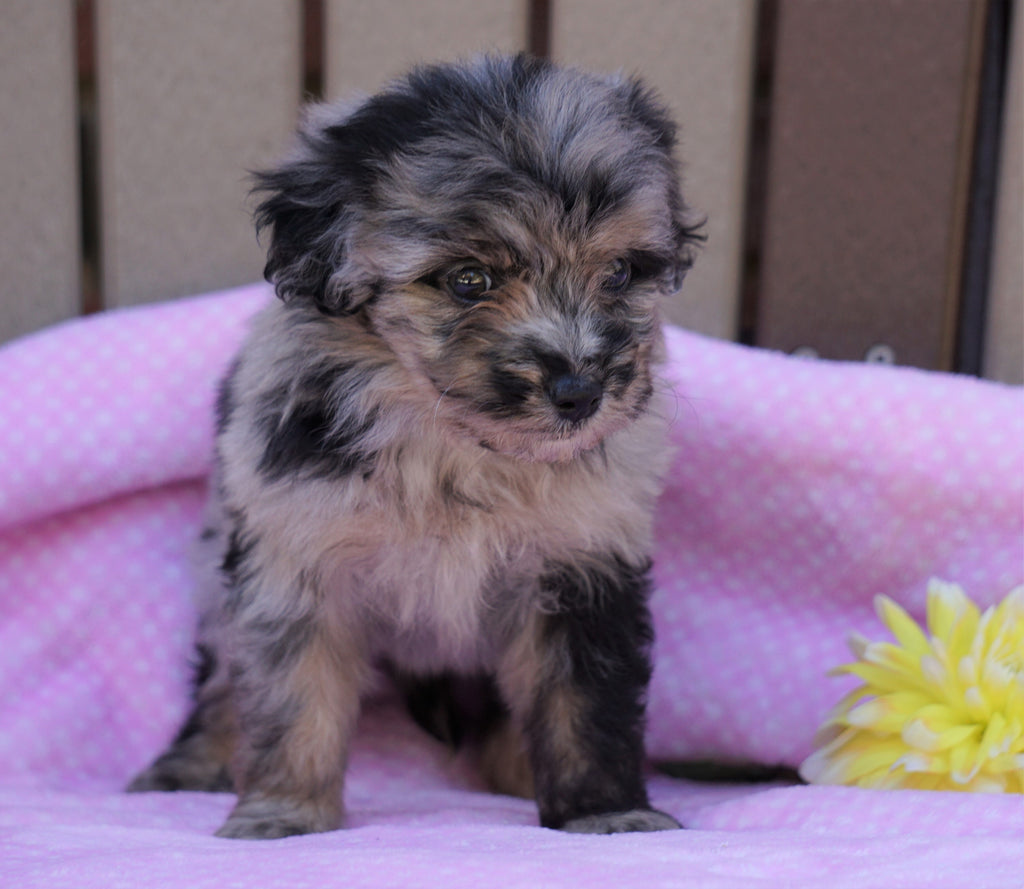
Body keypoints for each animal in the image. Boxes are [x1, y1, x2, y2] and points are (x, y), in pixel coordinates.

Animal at [128, 51, 700, 835]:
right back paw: (189, 764)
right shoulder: (293, 556)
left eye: (618, 272)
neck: (454, 442)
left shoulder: (583, 563)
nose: (581, 391)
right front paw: (284, 813)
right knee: (221, 678)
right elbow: (293, 691)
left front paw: (606, 814)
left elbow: (585, 701)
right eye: (468, 280)